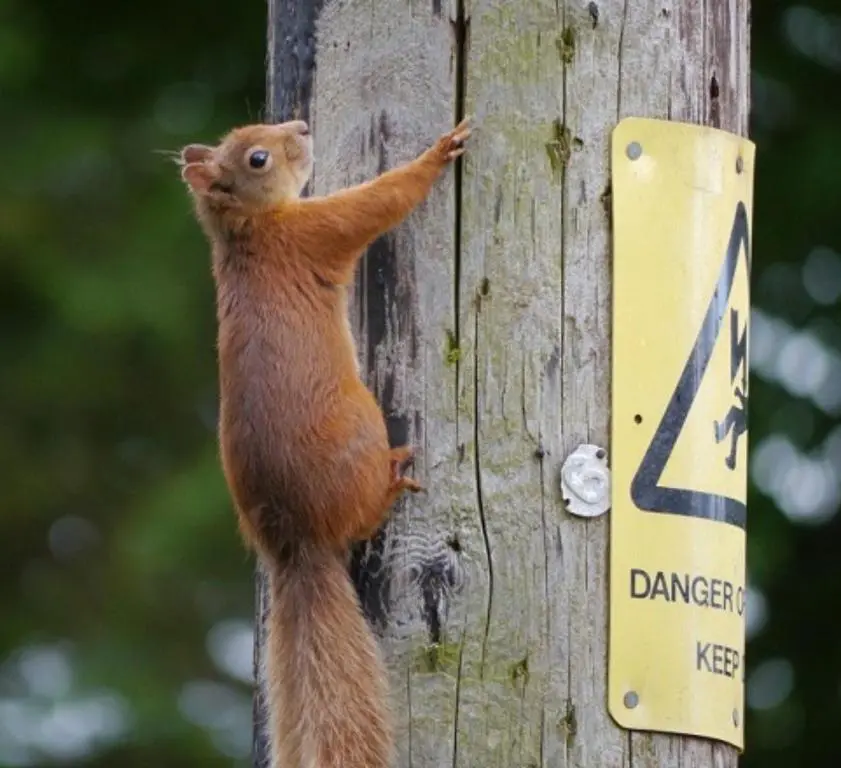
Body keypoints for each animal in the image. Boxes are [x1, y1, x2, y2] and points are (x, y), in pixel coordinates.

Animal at [177, 116, 471, 768]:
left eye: (253, 133)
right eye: (258, 158)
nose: (301, 125)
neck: (250, 233)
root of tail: (297, 540)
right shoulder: (317, 230)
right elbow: (381, 201)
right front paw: (439, 153)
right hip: (365, 427)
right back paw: (393, 479)